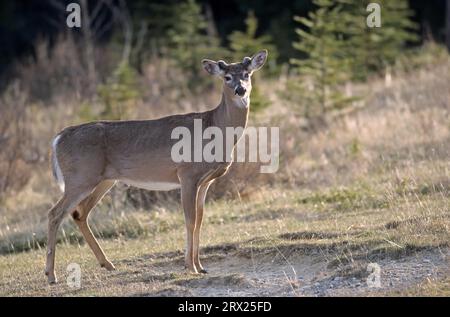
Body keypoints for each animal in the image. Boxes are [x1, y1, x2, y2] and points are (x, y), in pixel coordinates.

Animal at [44, 50, 268, 284]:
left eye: (247, 74)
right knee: (55, 213)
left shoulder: (205, 181)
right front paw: (191, 267)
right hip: (80, 177)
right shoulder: (186, 174)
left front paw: (201, 266)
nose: (240, 90)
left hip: (103, 179)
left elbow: (200, 220)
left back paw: (107, 264)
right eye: (227, 77)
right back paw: (51, 275)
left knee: (79, 213)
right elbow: (190, 220)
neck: (214, 128)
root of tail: (58, 138)